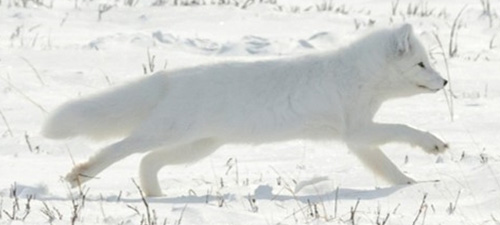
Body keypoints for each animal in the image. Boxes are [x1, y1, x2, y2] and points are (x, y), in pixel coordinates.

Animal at [44, 24, 450, 197]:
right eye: (421, 65)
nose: (445, 82)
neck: (356, 75)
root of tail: (172, 77)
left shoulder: (358, 140)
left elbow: (389, 169)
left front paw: (412, 188)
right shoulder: (357, 130)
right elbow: (404, 129)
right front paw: (433, 144)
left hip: (200, 146)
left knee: (148, 162)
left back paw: (158, 198)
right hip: (168, 133)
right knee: (120, 149)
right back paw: (80, 175)